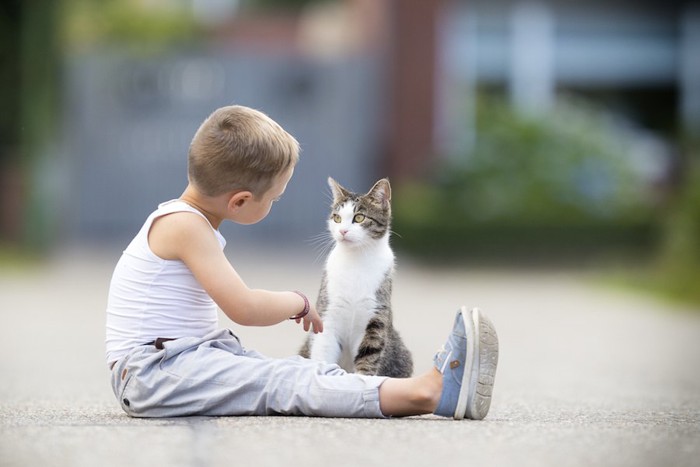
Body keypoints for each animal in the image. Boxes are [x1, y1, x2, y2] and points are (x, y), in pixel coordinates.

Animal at [298, 177, 412, 378]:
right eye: (337, 218)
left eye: (359, 218)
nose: (342, 231)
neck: (355, 259)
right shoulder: (328, 314)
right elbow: (322, 353)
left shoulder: (375, 319)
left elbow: (368, 358)